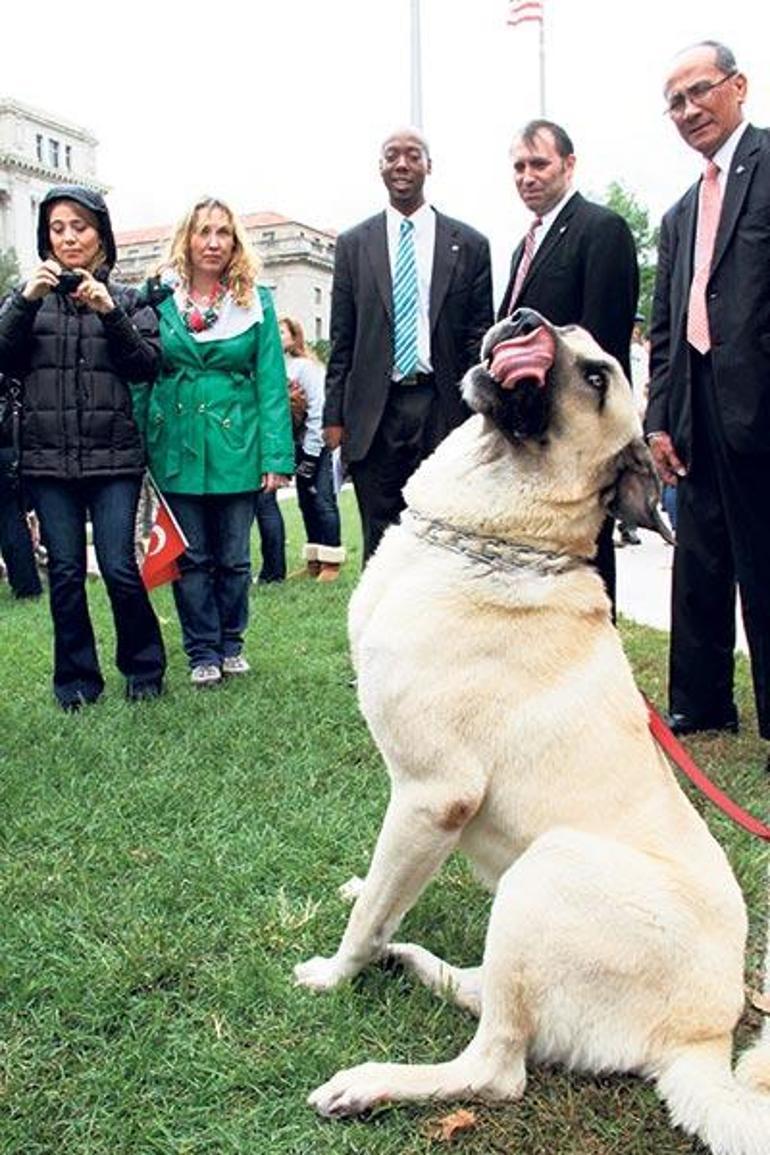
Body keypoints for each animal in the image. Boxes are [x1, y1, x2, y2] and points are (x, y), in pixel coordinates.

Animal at [295, 311, 770, 1150]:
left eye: (596, 377)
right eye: (562, 329)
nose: (524, 319)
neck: (493, 538)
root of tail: (703, 1039)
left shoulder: (432, 798)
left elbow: (367, 915)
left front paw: (335, 971)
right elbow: (380, 893)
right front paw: (369, 902)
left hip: (547, 867)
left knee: (497, 1068)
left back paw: (371, 1079)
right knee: (484, 999)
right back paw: (412, 959)